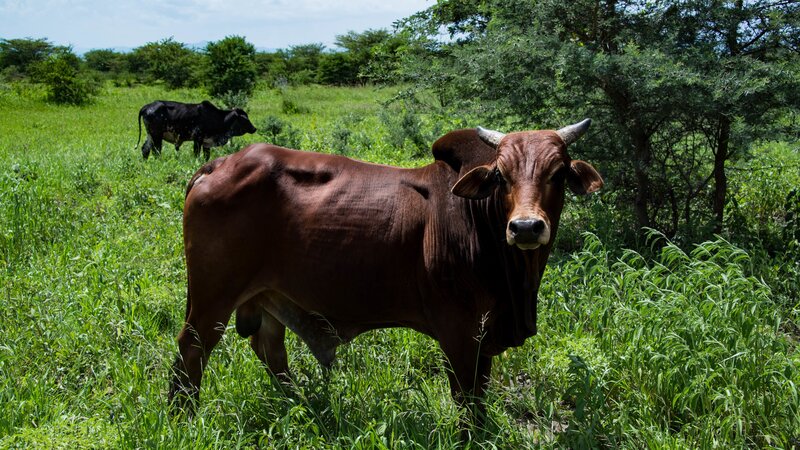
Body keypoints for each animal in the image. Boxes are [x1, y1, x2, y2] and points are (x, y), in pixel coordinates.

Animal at [169, 119, 603, 421]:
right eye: (501, 175)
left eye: (558, 173)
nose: (526, 227)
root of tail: (218, 163)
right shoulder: (459, 334)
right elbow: (468, 404)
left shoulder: (484, 335)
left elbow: (479, 398)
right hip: (212, 298)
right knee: (192, 350)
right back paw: (182, 417)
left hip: (266, 295)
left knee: (270, 349)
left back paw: (300, 405)